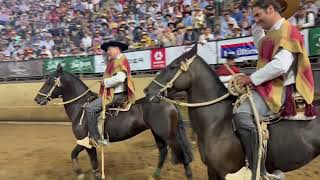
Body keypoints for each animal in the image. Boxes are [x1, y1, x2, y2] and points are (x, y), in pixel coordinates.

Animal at [33, 64, 192, 179]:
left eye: (49, 82)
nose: (37, 99)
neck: (80, 107)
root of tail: (168, 101)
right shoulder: (88, 143)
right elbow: (86, 159)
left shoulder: (86, 141)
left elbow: (80, 156)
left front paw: (80, 173)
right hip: (157, 133)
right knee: (163, 151)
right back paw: (155, 175)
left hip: (167, 134)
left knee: (181, 152)